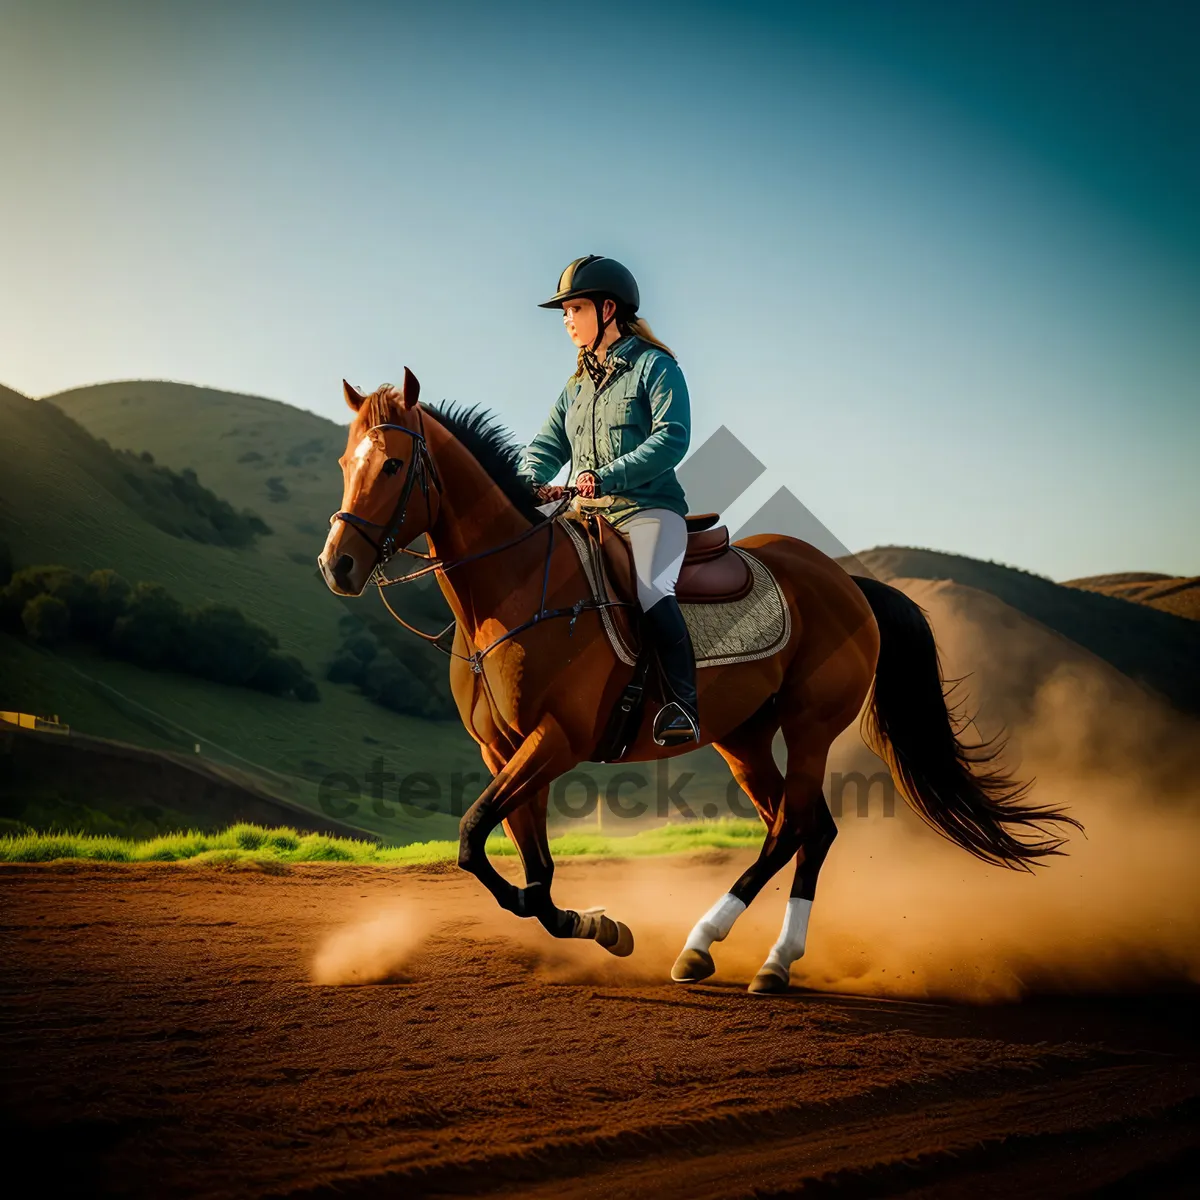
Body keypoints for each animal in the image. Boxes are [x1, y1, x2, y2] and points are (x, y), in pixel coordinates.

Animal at [316, 372, 1080, 993]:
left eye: (392, 464)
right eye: (345, 463)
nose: (337, 566)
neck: (515, 592)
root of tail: (846, 582)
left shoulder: (556, 742)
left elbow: (476, 838)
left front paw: (602, 925)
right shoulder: (503, 750)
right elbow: (525, 875)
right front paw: (599, 926)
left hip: (809, 726)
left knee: (795, 826)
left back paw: (736, 953)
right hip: (744, 737)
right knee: (806, 828)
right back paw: (739, 953)